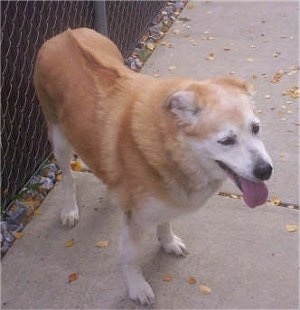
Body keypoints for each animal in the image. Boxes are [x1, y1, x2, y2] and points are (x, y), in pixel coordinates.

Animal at [34, 28, 274, 306]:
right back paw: (70, 208)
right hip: (59, 138)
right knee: (68, 176)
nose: (265, 170)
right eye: (226, 141)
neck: (170, 147)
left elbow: (165, 222)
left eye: (255, 128)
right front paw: (137, 287)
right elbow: (130, 258)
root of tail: (66, 34)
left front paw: (167, 242)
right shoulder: (135, 221)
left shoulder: (166, 197)